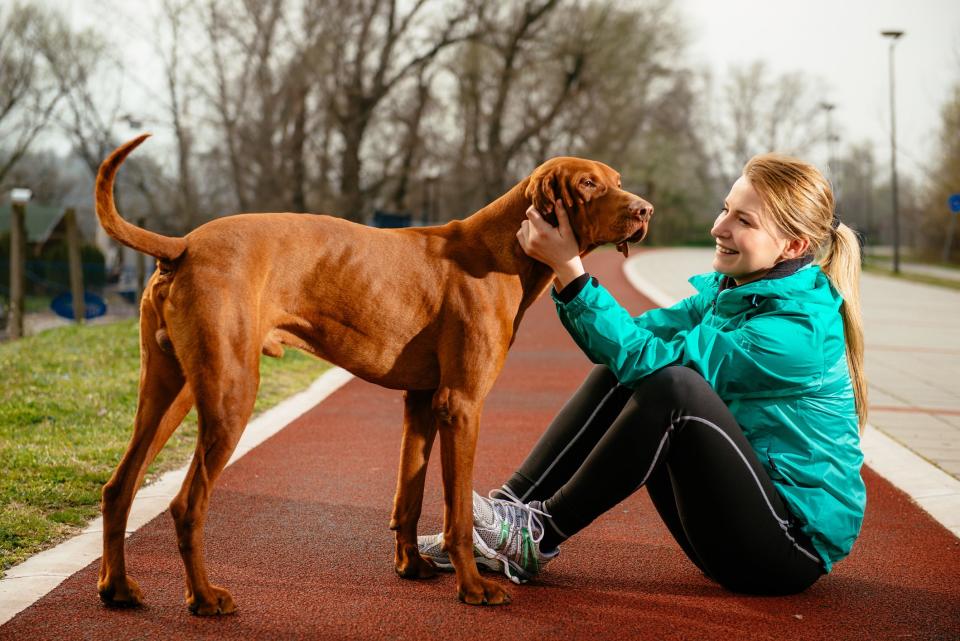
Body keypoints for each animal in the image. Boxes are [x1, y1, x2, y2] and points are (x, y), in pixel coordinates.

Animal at [95, 134, 652, 608]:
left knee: (119, 486)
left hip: (170, 392)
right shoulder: (462, 404)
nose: (644, 209)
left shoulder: (423, 402)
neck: (501, 250)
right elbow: (454, 512)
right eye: (588, 184)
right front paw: (472, 588)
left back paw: (118, 589)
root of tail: (182, 244)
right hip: (231, 395)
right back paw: (205, 599)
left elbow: (410, 495)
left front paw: (412, 566)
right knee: (187, 504)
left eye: (617, 178)